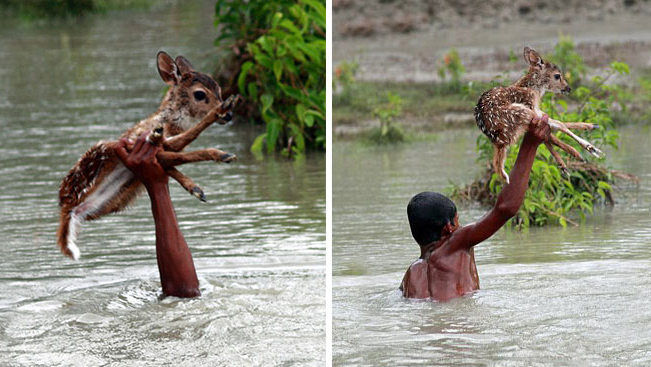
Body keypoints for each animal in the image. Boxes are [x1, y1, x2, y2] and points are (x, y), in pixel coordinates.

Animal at [57, 51, 238, 260]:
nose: (229, 115)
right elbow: (179, 150)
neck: (170, 123)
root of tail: (67, 207)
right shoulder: (139, 142)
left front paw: (196, 188)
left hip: (118, 198)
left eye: (219, 88)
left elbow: (174, 161)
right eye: (200, 94)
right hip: (105, 151)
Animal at [474, 46, 608, 184]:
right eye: (557, 75)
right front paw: (589, 147)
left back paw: (569, 160)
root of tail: (499, 141)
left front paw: (590, 129)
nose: (568, 88)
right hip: (520, 112)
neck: (533, 89)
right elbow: (559, 124)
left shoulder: (536, 109)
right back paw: (578, 153)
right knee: (551, 130)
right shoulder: (530, 105)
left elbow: (557, 123)